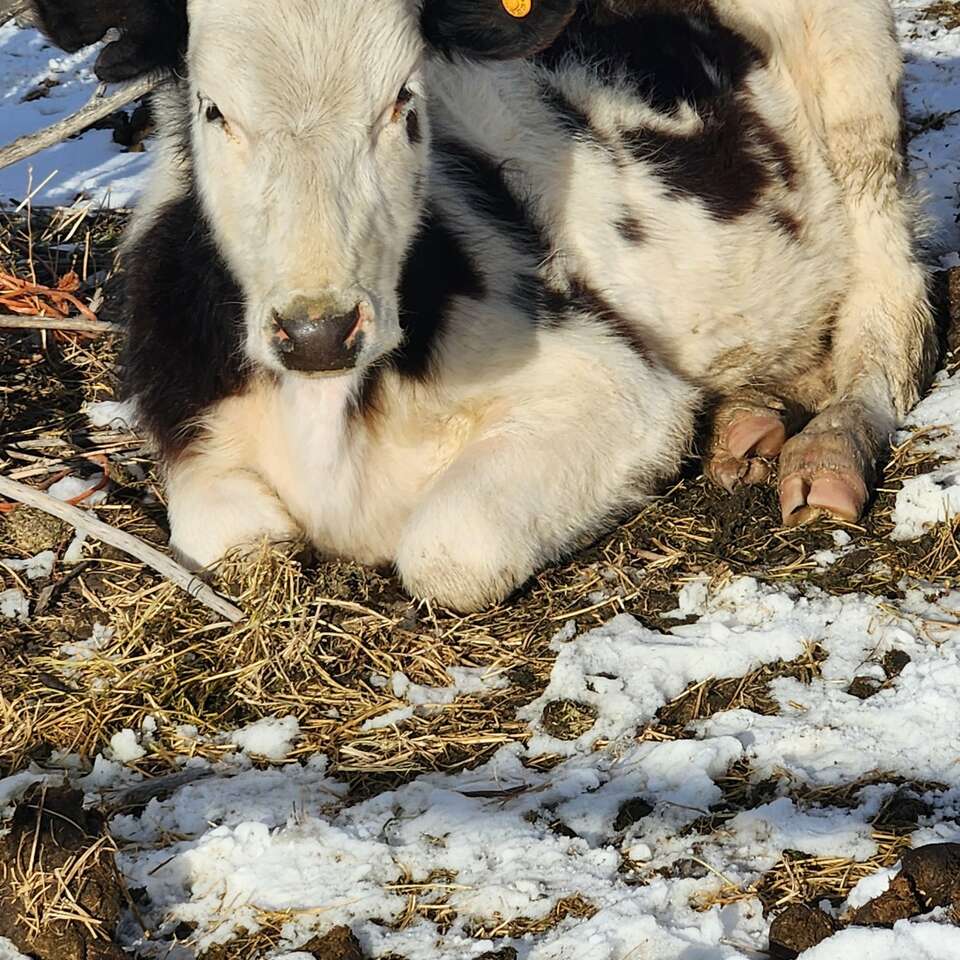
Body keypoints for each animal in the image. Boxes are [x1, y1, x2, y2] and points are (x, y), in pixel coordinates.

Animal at [34, 0, 937, 611]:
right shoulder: (184, 411)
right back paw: (746, 425)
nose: (319, 332)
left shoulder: (615, 385)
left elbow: (448, 551)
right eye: (214, 108)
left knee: (893, 303)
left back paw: (829, 453)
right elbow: (234, 544)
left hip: (858, 95)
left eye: (404, 97)